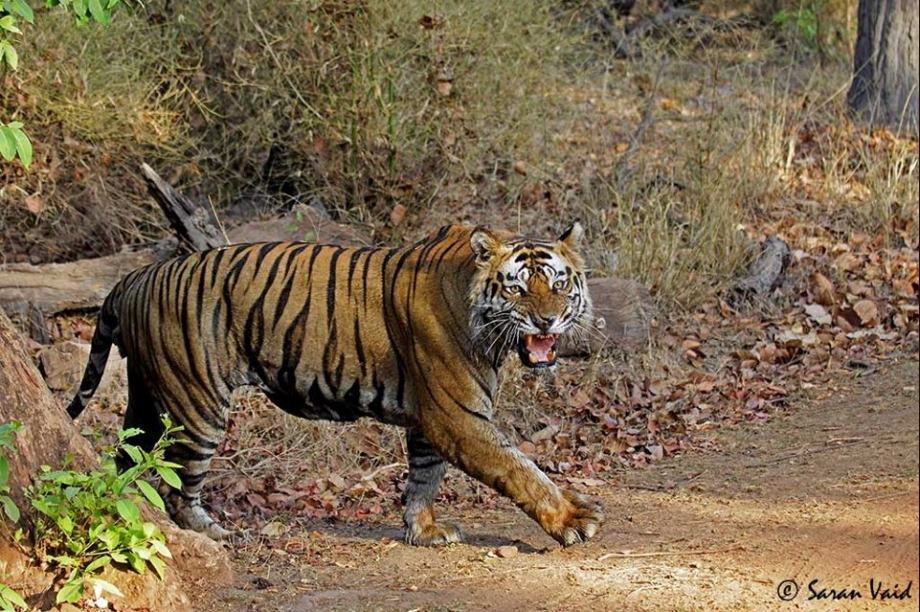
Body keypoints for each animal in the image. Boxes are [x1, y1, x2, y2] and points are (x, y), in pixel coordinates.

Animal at [70, 222, 604, 548]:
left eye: (559, 284)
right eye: (516, 288)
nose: (547, 321)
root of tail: (136, 276)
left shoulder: (431, 419)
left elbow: (424, 476)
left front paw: (423, 531)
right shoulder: (457, 415)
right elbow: (519, 469)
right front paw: (572, 519)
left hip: (146, 399)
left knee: (126, 464)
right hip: (196, 405)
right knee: (179, 485)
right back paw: (215, 533)